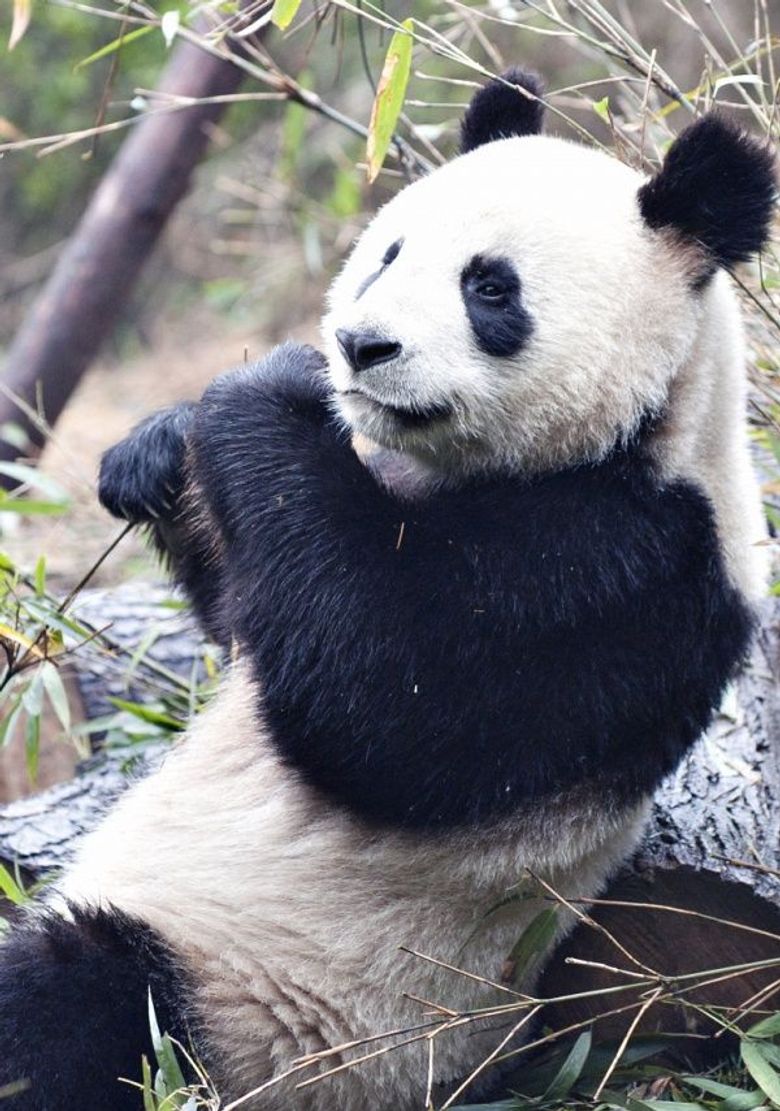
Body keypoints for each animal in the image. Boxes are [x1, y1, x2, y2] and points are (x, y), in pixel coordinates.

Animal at [0, 69, 775, 1110]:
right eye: (389, 253)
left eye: (490, 288)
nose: (360, 345)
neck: (652, 427)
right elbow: (252, 619)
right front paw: (156, 451)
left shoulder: (629, 567)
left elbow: (385, 705)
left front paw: (266, 385)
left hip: (260, 1013)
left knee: (76, 1006)